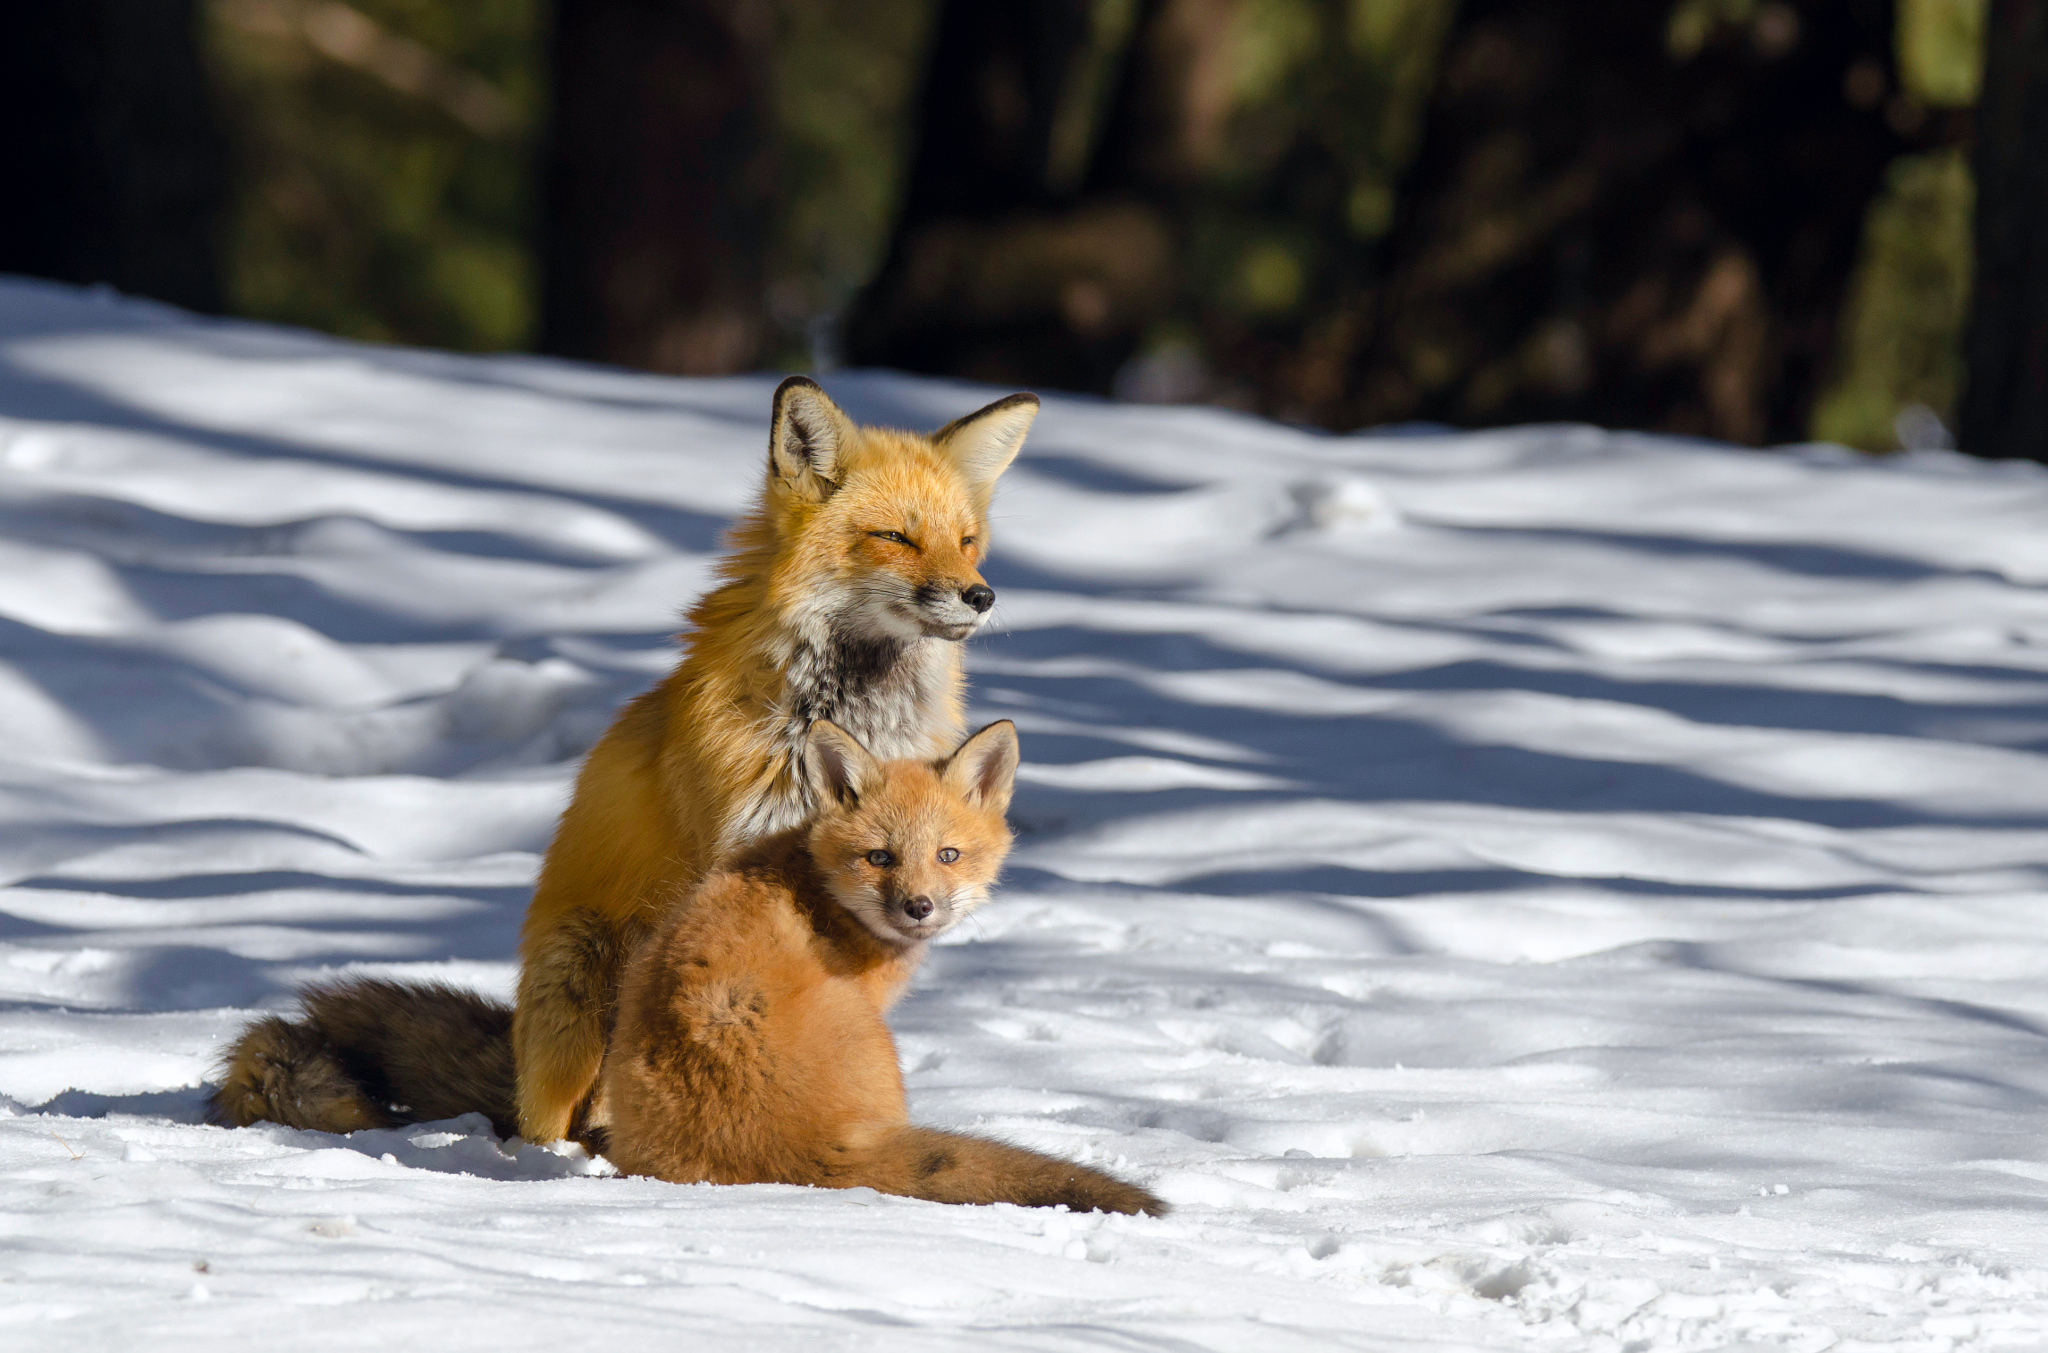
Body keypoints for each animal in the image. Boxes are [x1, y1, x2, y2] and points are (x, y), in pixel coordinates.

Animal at [598, 716, 1163, 1211]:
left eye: (948, 855)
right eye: (879, 858)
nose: (919, 906)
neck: (820, 892)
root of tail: (787, 1152)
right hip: (883, 1048)